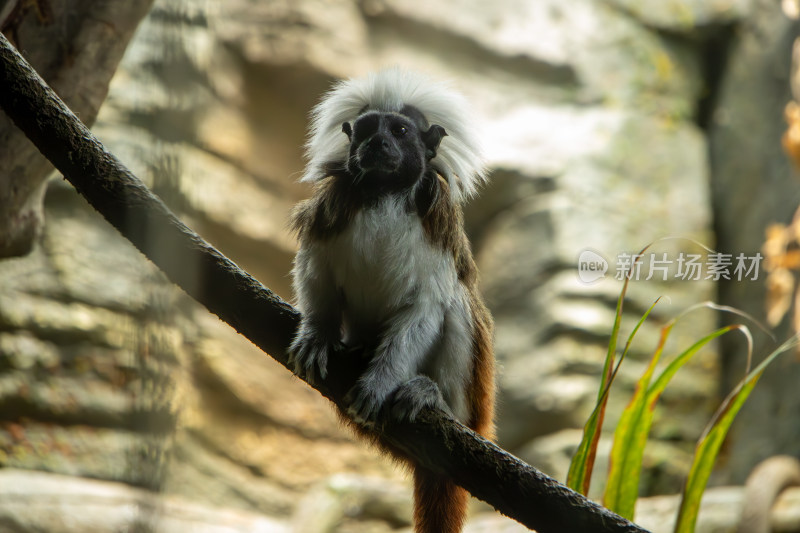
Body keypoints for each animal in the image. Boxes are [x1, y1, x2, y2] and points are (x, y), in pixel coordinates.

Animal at [288, 69, 494, 532]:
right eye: (366, 129)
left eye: (399, 131)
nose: (377, 143)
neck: (385, 194)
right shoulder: (333, 207)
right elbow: (316, 267)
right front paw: (318, 333)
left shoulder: (437, 223)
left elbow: (426, 309)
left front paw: (381, 381)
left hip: (475, 404)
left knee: (458, 305)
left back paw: (433, 397)